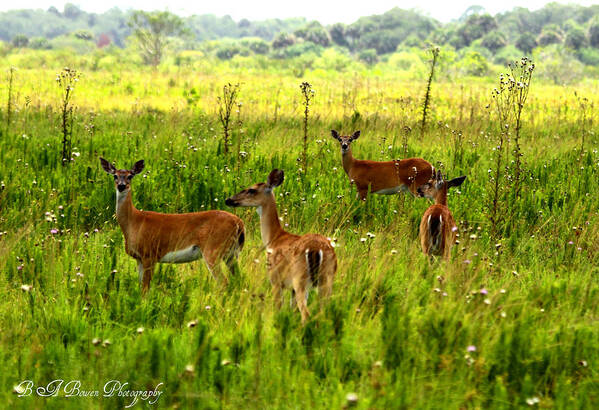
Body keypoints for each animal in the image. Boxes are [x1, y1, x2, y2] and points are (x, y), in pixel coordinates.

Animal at [99, 159, 245, 294]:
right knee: (239, 280)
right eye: (115, 176)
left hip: (213, 249)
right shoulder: (139, 258)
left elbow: (145, 289)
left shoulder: (149, 254)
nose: (121, 186)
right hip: (231, 254)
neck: (134, 223)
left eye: (130, 176)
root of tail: (239, 223)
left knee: (224, 282)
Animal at [225, 170, 338, 324]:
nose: (229, 200)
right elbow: (292, 310)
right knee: (324, 313)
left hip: (300, 278)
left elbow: (278, 307)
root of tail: (317, 249)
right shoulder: (291, 289)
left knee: (306, 314)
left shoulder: (275, 280)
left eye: (251, 190)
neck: (274, 238)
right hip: (327, 278)